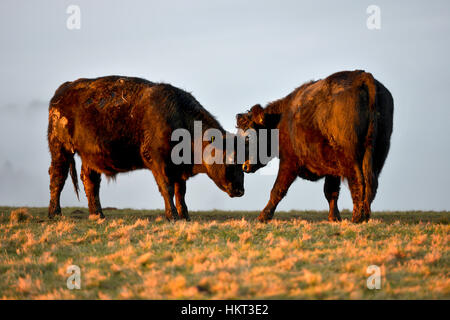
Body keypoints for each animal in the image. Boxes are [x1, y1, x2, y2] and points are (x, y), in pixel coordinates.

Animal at [48, 75, 244, 220]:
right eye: (230, 159)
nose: (240, 190)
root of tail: (64, 89)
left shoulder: (178, 169)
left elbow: (180, 192)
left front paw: (185, 216)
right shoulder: (159, 163)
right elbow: (167, 188)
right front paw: (172, 216)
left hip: (90, 157)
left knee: (90, 181)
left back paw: (97, 214)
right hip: (59, 148)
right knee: (58, 177)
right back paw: (54, 213)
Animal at [237, 70, 392, 222]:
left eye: (248, 137)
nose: (244, 166)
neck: (281, 119)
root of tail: (362, 76)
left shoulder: (289, 161)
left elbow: (278, 189)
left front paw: (263, 216)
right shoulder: (332, 169)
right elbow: (331, 191)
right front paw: (334, 218)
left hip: (350, 157)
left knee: (358, 181)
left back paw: (357, 218)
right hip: (378, 154)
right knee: (371, 183)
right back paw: (365, 216)